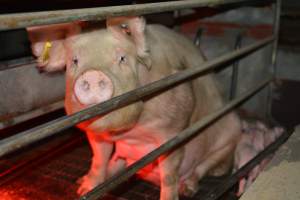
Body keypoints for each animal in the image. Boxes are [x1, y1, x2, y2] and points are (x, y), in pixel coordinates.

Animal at [26, 17, 241, 200]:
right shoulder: (95, 133)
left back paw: (188, 188)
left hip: (230, 133)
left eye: (122, 58)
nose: (93, 74)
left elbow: (169, 173)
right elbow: (99, 157)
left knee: (206, 166)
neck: (132, 129)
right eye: (75, 61)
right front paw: (84, 188)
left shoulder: (175, 130)